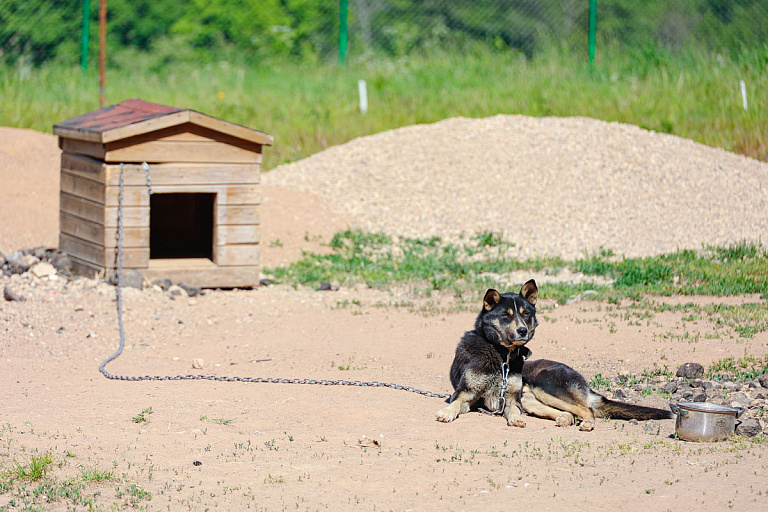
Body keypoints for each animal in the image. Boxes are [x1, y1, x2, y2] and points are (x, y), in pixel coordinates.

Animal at [438, 280, 540, 428]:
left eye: (526, 313)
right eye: (505, 315)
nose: (522, 330)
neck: (501, 353)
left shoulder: (512, 397)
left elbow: (515, 409)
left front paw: (517, 418)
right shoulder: (466, 391)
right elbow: (456, 402)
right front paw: (447, 412)